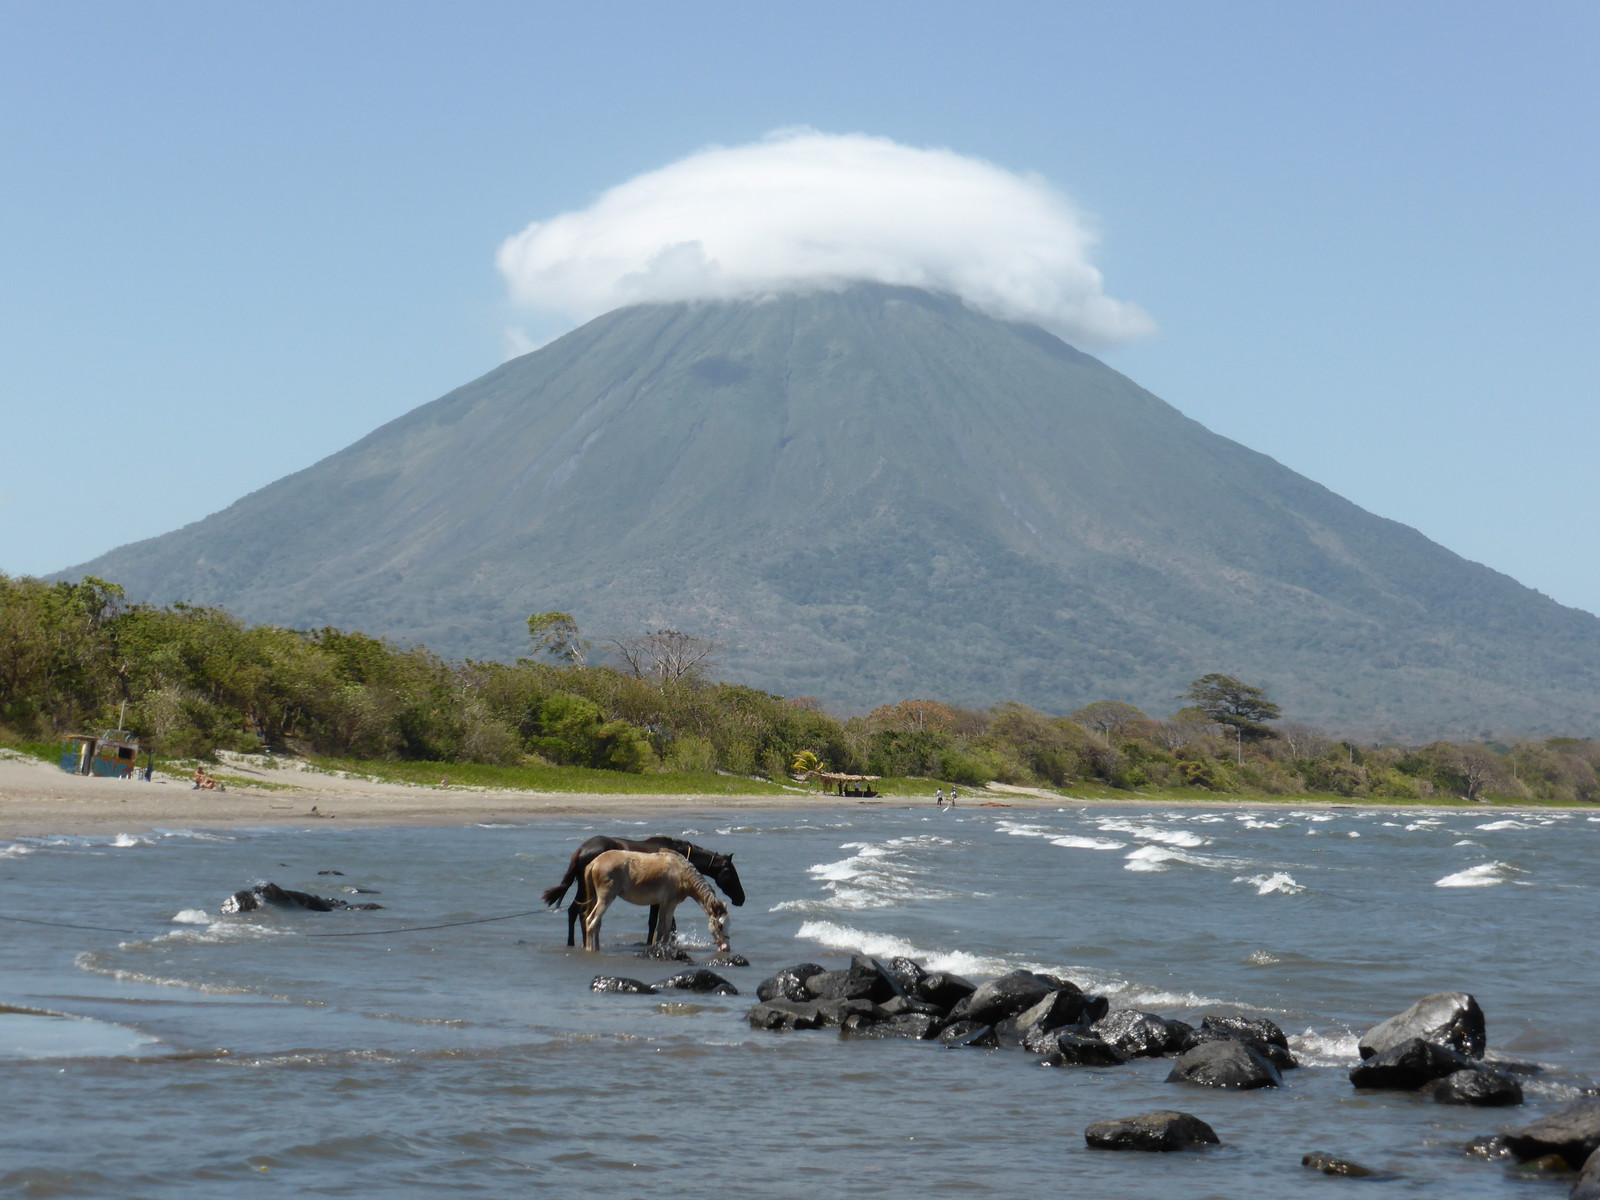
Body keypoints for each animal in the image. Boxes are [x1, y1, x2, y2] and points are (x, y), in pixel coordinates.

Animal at [582, 844, 732, 960]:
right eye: (719, 926)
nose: (726, 948)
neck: (681, 873)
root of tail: (595, 862)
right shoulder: (667, 903)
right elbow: (663, 928)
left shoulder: (667, 904)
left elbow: (664, 928)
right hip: (606, 898)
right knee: (591, 921)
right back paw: (590, 950)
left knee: (596, 924)